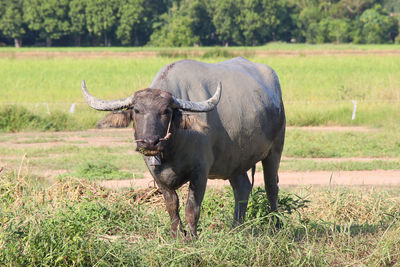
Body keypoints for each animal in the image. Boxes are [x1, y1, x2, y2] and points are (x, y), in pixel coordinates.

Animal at [83, 57, 286, 241]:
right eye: (136, 111)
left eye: (166, 111)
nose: (149, 142)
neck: (172, 149)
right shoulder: (156, 174)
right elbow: (171, 204)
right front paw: (175, 234)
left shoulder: (201, 171)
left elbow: (192, 207)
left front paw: (192, 236)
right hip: (234, 160)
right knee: (242, 188)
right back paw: (236, 227)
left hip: (275, 150)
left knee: (271, 187)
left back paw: (276, 225)